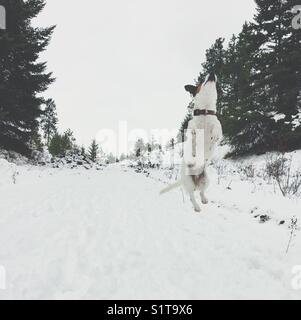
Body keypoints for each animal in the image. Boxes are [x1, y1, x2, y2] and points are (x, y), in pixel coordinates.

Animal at [161, 73, 221, 212]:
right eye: (201, 81)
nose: (211, 72)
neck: (205, 111)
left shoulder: (217, 123)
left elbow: (218, 128)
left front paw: (215, 135)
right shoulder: (191, 125)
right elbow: (192, 129)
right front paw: (195, 135)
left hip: (206, 180)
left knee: (201, 192)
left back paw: (204, 200)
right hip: (188, 183)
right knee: (192, 196)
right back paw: (196, 206)